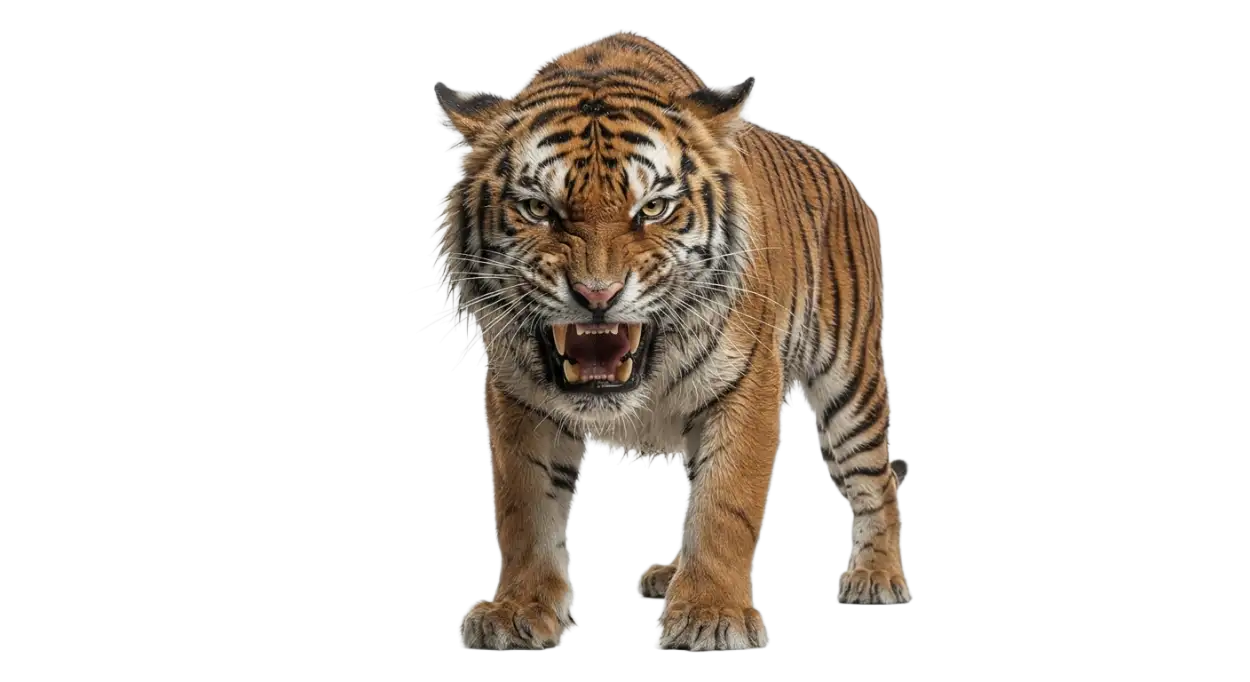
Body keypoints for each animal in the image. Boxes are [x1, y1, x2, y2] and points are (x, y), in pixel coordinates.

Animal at [433, 30, 907, 651]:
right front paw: (518, 609)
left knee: (879, 477)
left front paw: (711, 612)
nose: (597, 293)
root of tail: (836, 165)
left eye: (653, 208)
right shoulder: (518, 398)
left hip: (849, 379)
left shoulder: (747, 386)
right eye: (538, 209)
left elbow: (724, 504)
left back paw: (877, 575)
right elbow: (525, 511)